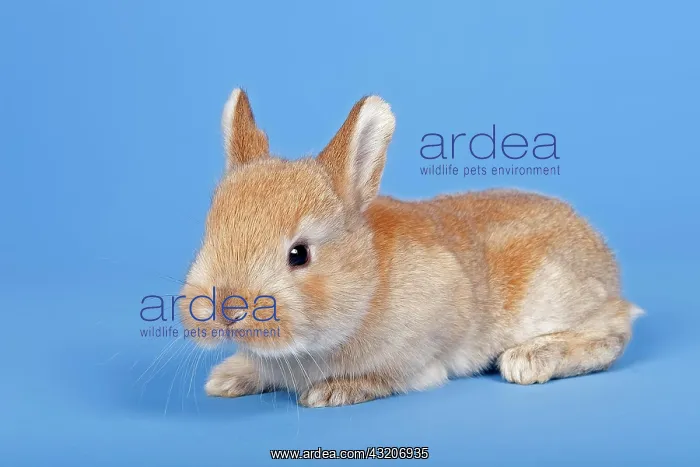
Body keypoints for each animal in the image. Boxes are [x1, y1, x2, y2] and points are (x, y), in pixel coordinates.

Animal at [178, 88, 643, 408]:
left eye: (299, 254)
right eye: (209, 236)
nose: (226, 309)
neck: (368, 287)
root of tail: (607, 263)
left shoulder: (422, 347)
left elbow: (393, 377)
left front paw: (334, 391)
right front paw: (227, 379)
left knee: (611, 336)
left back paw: (530, 359)